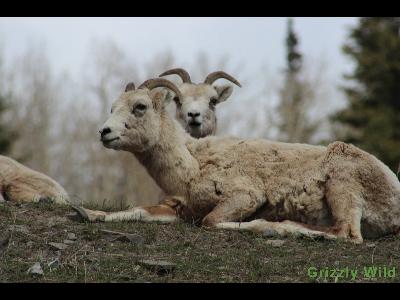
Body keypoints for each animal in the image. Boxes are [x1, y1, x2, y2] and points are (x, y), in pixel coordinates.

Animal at [73, 78, 400, 244]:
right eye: (113, 108)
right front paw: (88, 214)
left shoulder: (244, 196)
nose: (105, 132)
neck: (193, 165)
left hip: (342, 188)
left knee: (347, 234)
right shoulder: (177, 209)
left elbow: (210, 221)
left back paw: (273, 227)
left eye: (139, 107)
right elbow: (138, 211)